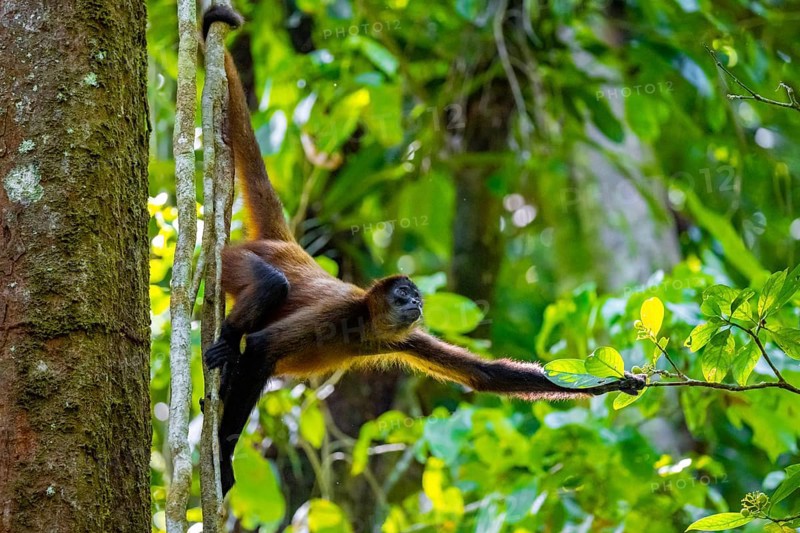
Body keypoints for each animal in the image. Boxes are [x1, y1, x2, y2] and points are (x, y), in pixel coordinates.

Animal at [200, 6, 646, 496]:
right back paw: (227, 346)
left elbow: (485, 375)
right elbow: (262, 347)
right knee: (270, 285)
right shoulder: (338, 313)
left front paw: (614, 382)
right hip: (233, 258)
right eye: (403, 295)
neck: (363, 326)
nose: (415, 303)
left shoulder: (404, 335)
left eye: (417, 298)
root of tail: (284, 242)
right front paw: (222, 454)